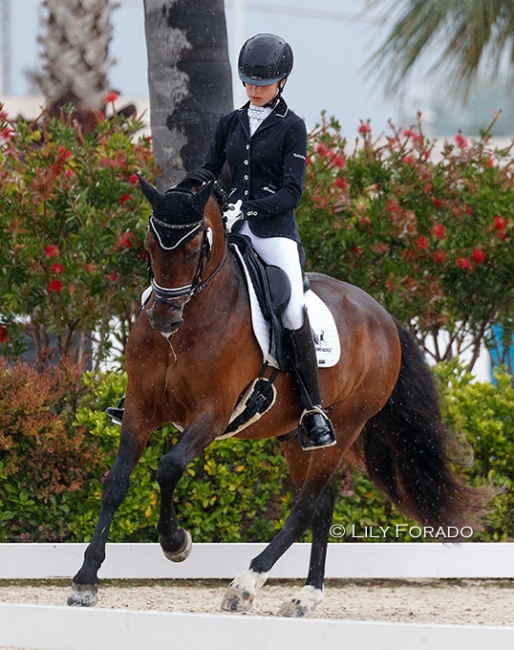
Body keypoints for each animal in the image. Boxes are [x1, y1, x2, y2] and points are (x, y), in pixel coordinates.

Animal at [67, 170, 484, 616]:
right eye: (148, 245)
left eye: (195, 248)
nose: (163, 318)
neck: (191, 321)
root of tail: (383, 317)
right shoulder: (140, 408)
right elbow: (115, 483)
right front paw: (86, 580)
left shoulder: (212, 414)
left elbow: (169, 467)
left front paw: (176, 543)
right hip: (292, 437)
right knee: (322, 503)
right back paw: (306, 595)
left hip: (345, 426)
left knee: (305, 506)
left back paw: (246, 584)